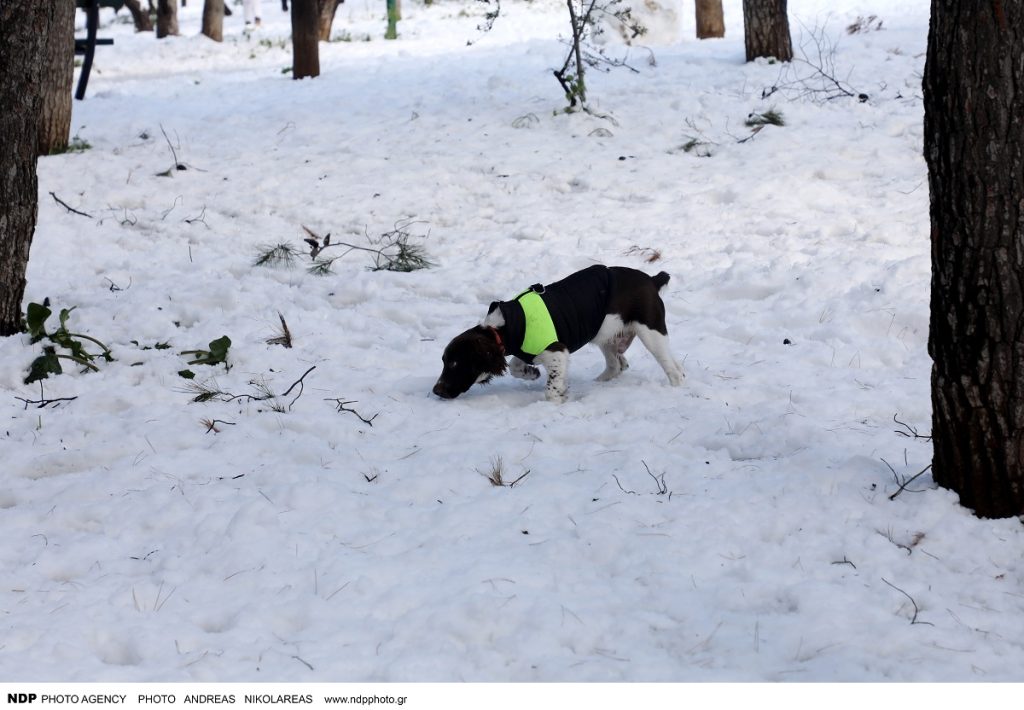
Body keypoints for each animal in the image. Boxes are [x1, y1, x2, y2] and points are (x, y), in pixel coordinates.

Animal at [428, 262, 684, 401]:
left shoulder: (557, 351)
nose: (436, 391)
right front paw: (531, 373)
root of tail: (651, 280)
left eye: (455, 364)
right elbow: (515, 366)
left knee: (674, 371)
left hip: (650, 332)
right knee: (618, 365)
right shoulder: (527, 350)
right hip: (606, 335)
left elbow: (551, 388)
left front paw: (558, 398)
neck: (507, 326)